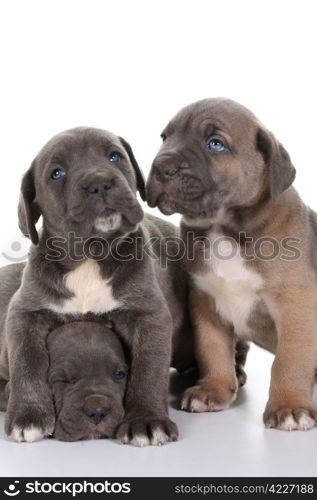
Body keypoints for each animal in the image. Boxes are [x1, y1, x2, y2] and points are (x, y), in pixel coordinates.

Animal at [2, 128, 193, 446]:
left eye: (114, 156)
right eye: (57, 173)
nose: (99, 182)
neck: (90, 256)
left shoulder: (148, 315)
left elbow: (148, 368)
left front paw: (146, 420)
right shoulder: (25, 312)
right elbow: (27, 360)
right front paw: (29, 416)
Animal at [147, 97, 316, 430]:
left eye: (215, 144)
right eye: (165, 138)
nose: (161, 167)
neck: (224, 227)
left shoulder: (296, 306)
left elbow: (290, 359)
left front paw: (290, 406)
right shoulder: (205, 301)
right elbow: (212, 349)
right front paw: (213, 388)